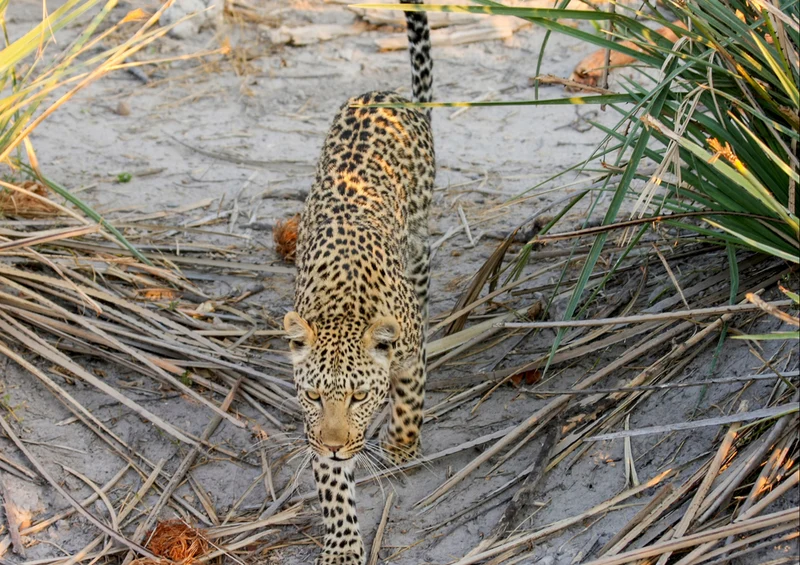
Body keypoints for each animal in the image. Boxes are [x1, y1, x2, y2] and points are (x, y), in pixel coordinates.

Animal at [281, 1, 435, 563]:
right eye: (313, 396)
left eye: (358, 396)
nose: (332, 443)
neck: (347, 306)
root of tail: (385, 93)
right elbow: (332, 486)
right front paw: (344, 544)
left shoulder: (409, 352)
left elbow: (410, 393)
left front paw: (402, 444)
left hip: (420, 228)